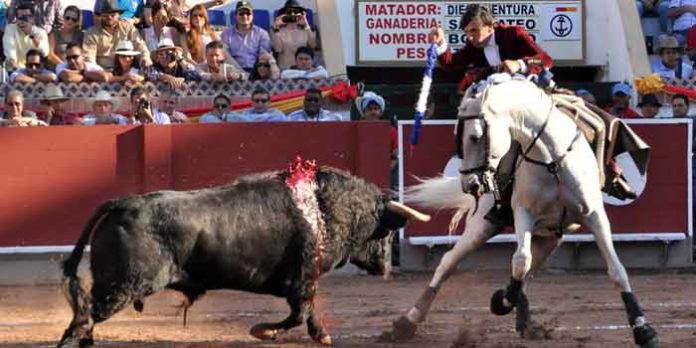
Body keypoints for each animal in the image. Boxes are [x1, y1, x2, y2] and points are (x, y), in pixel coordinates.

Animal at [58, 167, 430, 346]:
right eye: (386, 231)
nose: (385, 267)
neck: (325, 207)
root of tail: (123, 202)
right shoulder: (303, 277)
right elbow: (299, 313)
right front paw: (264, 331)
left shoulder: (303, 281)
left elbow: (306, 312)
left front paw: (320, 335)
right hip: (122, 286)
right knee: (83, 320)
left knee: (85, 319)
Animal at [392, 77, 656, 346]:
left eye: (475, 137)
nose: (470, 185)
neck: (552, 159)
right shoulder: (524, 213)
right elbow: (520, 261)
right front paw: (501, 300)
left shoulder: (595, 216)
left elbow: (617, 270)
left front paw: (642, 328)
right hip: (483, 225)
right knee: (449, 262)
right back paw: (407, 322)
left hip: (550, 237)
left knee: (527, 271)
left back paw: (526, 324)